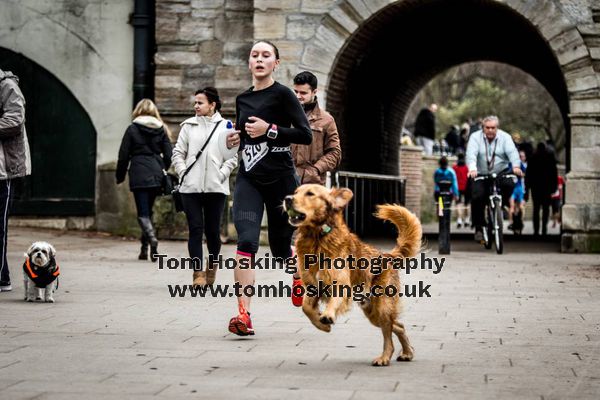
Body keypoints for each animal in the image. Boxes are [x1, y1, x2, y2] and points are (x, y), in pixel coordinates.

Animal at [284, 184, 422, 366]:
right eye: (295, 192)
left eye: (310, 194)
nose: (287, 199)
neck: (317, 238)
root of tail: (388, 256)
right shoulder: (313, 286)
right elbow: (306, 308)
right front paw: (322, 324)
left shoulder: (341, 283)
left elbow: (334, 301)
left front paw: (327, 316)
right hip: (372, 311)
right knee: (398, 326)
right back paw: (407, 353)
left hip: (382, 306)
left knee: (389, 334)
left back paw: (384, 358)